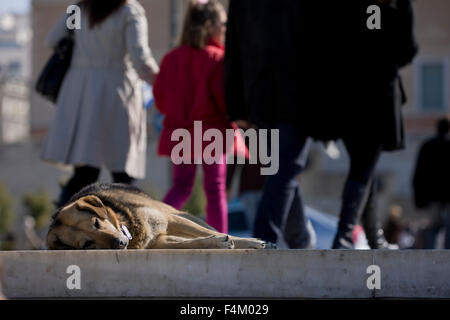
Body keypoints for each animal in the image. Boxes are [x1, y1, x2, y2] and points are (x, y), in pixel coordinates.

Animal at [46, 182, 268, 250]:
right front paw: (218, 243)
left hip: (181, 215)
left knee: (208, 228)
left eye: (96, 222)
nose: (119, 243)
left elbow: (207, 233)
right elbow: (192, 243)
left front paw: (249, 242)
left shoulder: (170, 219)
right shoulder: (159, 241)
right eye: (87, 244)